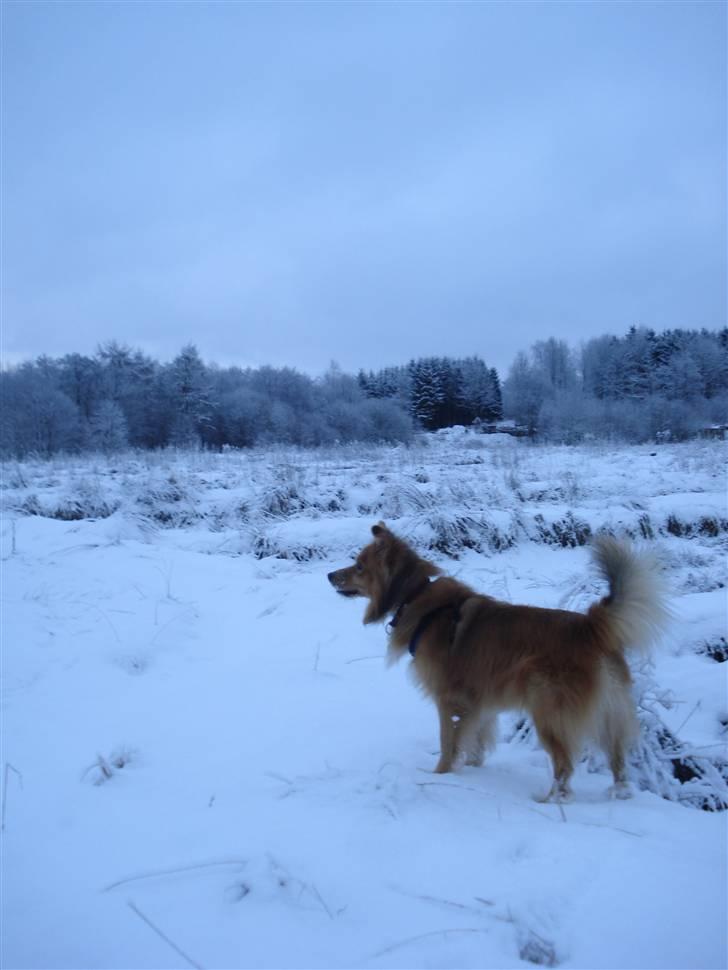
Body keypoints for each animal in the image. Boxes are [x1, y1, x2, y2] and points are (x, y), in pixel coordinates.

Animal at [330, 520, 672, 800]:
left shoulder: (449, 700)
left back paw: (549, 800)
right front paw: (471, 770)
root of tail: (590, 625)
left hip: (548, 711)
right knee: (618, 762)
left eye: (358, 566)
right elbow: (475, 742)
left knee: (565, 767)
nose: (330, 575)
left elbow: (448, 743)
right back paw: (619, 794)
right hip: (610, 713)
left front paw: (441, 776)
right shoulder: (479, 702)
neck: (415, 597)